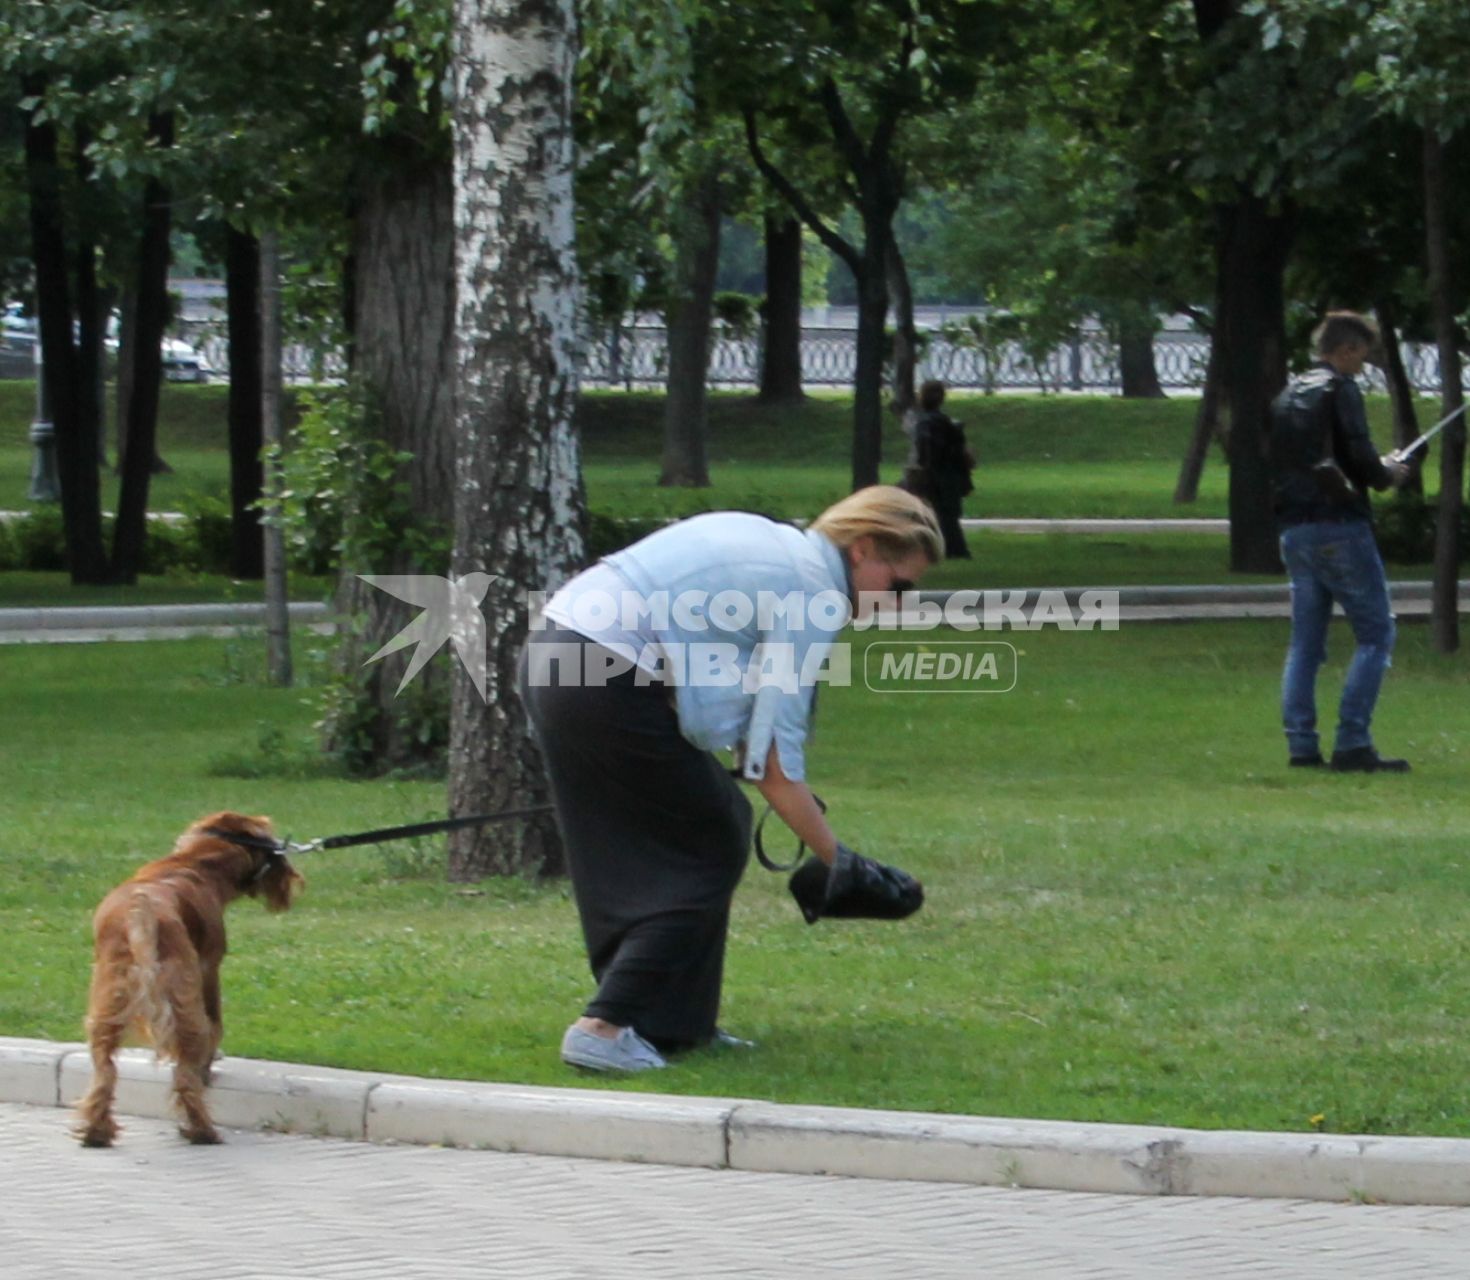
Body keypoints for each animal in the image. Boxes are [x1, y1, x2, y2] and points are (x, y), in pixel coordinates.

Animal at [76, 811, 304, 1152]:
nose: (293, 878)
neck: (195, 862)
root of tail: (138, 914)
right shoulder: (209, 970)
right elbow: (216, 1025)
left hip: (109, 1002)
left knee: (105, 1072)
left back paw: (96, 1132)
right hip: (183, 1003)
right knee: (185, 1073)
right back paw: (202, 1130)